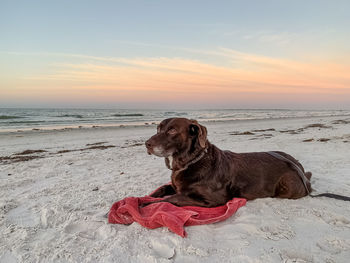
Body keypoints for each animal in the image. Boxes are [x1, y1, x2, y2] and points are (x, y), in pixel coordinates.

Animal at [144, 118, 312, 208]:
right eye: (158, 128)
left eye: (172, 130)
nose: (146, 144)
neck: (191, 162)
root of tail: (303, 174)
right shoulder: (175, 186)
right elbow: (161, 190)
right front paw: (145, 198)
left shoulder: (213, 200)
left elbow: (172, 199)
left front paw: (145, 205)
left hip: (287, 186)